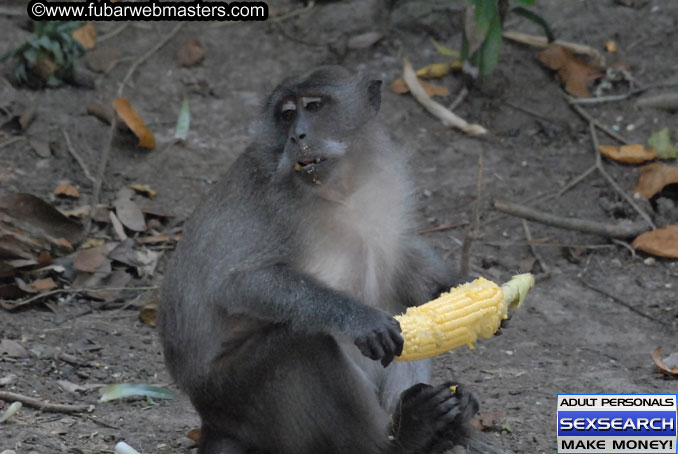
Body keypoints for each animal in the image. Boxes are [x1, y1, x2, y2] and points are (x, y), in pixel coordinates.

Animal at [160, 64, 480, 454]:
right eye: (286, 114)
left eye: (313, 106)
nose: (297, 135)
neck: (340, 189)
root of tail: (213, 420)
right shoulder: (276, 205)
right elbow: (236, 284)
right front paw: (360, 318)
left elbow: (398, 254)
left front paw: (458, 287)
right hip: (234, 393)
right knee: (303, 342)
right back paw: (403, 438)